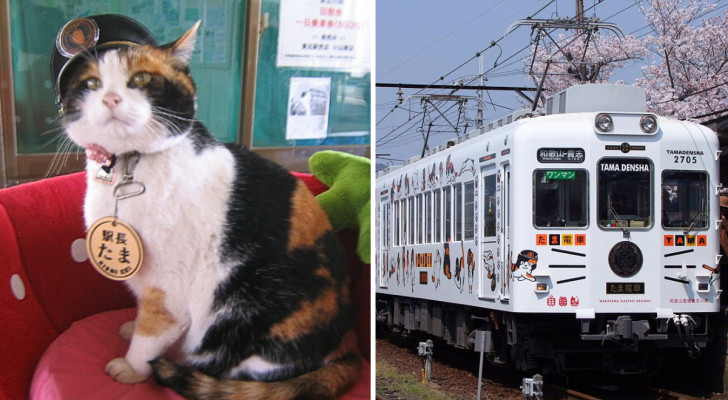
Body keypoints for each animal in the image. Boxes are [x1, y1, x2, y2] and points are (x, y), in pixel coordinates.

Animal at [52, 14, 360, 400]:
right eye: (91, 83)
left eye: (141, 79)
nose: (109, 98)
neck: (128, 165)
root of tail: (349, 348)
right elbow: (143, 316)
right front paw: (131, 327)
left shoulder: (168, 286)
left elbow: (154, 330)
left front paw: (132, 365)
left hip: (251, 306)